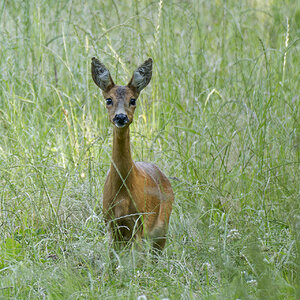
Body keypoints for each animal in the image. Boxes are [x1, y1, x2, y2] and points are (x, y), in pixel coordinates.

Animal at [91, 56, 173, 251]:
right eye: (108, 100)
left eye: (133, 100)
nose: (121, 117)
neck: (122, 195)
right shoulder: (111, 225)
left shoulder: (139, 225)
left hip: (162, 228)